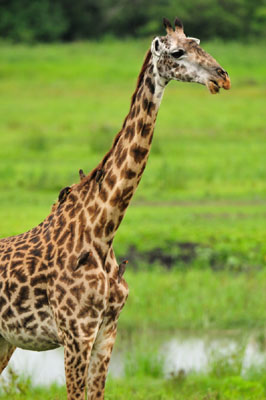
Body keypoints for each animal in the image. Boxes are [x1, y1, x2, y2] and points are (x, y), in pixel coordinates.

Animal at [0, 17, 230, 398]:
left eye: (199, 43)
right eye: (177, 52)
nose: (222, 76)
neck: (102, 228)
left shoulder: (108, 331)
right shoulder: (76, 334)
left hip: (5, 339)